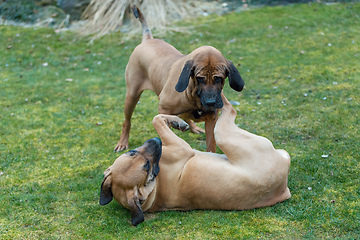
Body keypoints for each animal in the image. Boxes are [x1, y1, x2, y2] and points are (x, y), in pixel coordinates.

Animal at [115, 7, 245, 154]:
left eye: (218, 78)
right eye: (200, 79)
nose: (211, 102)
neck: (193, 95)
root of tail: (148, 39)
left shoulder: (212, 119)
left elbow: (211, 145)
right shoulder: (164, 109)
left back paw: (192, 127)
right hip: (132, 95)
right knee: (127, 121)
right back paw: (123, 142)